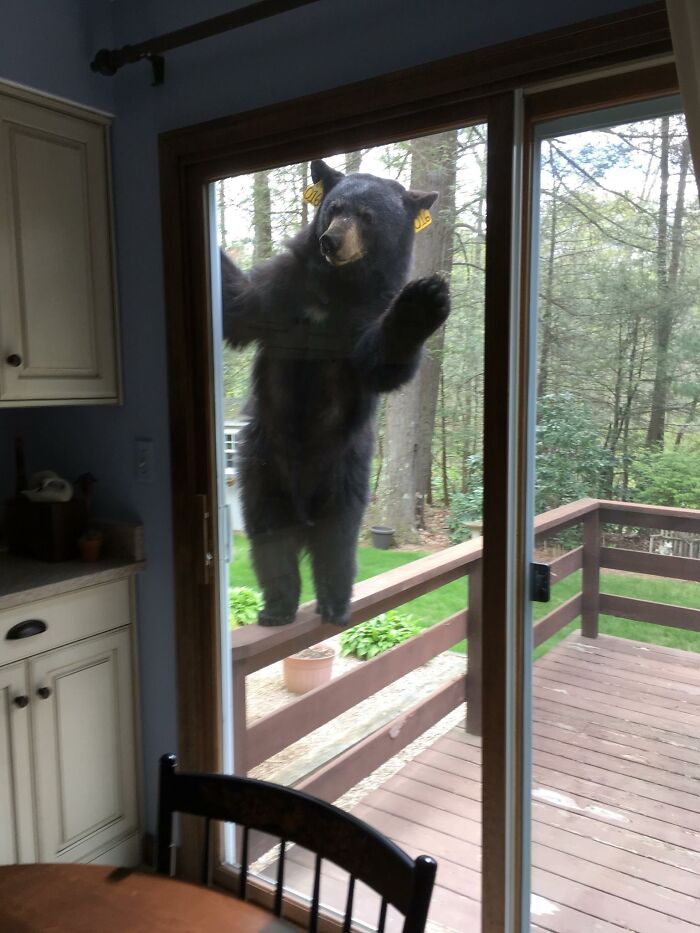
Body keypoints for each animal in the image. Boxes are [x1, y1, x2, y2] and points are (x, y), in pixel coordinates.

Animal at [221, 158, 450, 626]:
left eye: (367, 216)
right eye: (333, 208)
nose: (331, 240)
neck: (336, 287)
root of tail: (302, 505)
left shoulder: (365, 315)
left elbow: (380, 363)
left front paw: (423, 300)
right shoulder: (282, 290)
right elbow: (241, 307)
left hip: (346, 472)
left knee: (337, 543)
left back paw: (334, 602)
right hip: (261, 467)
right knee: (269, 537)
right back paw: (277, 606)